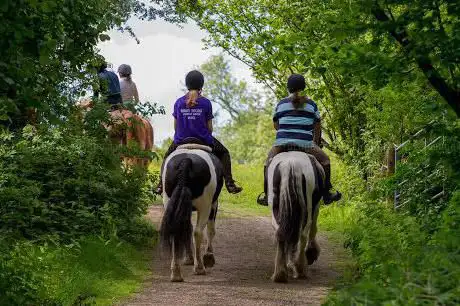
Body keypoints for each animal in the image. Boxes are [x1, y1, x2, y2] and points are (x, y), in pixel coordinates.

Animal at [160, 143, 225, 282]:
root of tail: (186, 160)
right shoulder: (214, 204)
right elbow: (210, 230)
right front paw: (208, 257)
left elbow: (186, 228)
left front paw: (188, 258)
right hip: (205, 206)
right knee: (198, 232)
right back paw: (199, 267)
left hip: (169, 201)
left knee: (177, 231)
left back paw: (176, 273)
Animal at [266, 152, 324, 284]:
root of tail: (290, 164)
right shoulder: (316, 206)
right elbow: (314, 228)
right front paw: (311, 253)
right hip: (308, 207)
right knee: (303, 234)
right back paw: (300, 268)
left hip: (276, 206)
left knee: (280, 234)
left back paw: (280, 274)